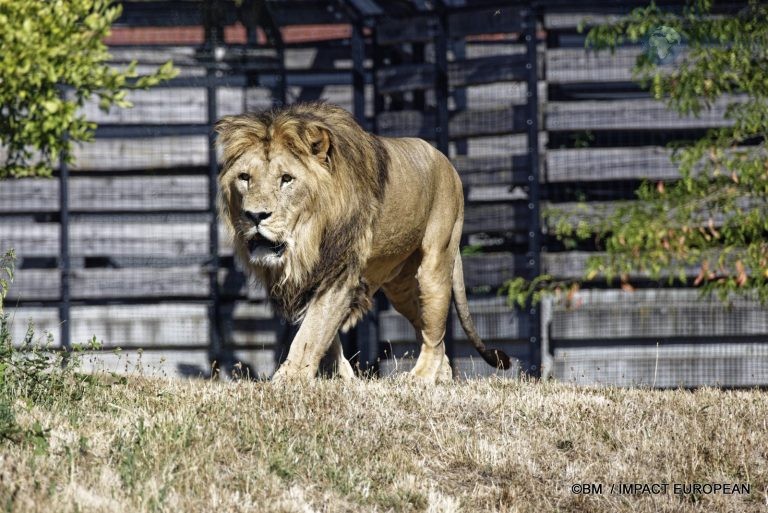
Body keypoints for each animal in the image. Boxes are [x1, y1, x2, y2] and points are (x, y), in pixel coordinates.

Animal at [214, 101, 510, 380]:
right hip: (401, 288)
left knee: (435, 333)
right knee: (425, 326)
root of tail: (447, 162)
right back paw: (443, 377)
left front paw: (289, 379)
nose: (255, 216)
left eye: (286, 179)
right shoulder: (309, 280)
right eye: (244, 178)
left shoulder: (339, 273)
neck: (306, 239)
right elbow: (326, 337)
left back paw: (421, 378)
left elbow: (311, 332)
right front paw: (344, 379)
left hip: (435, 263)